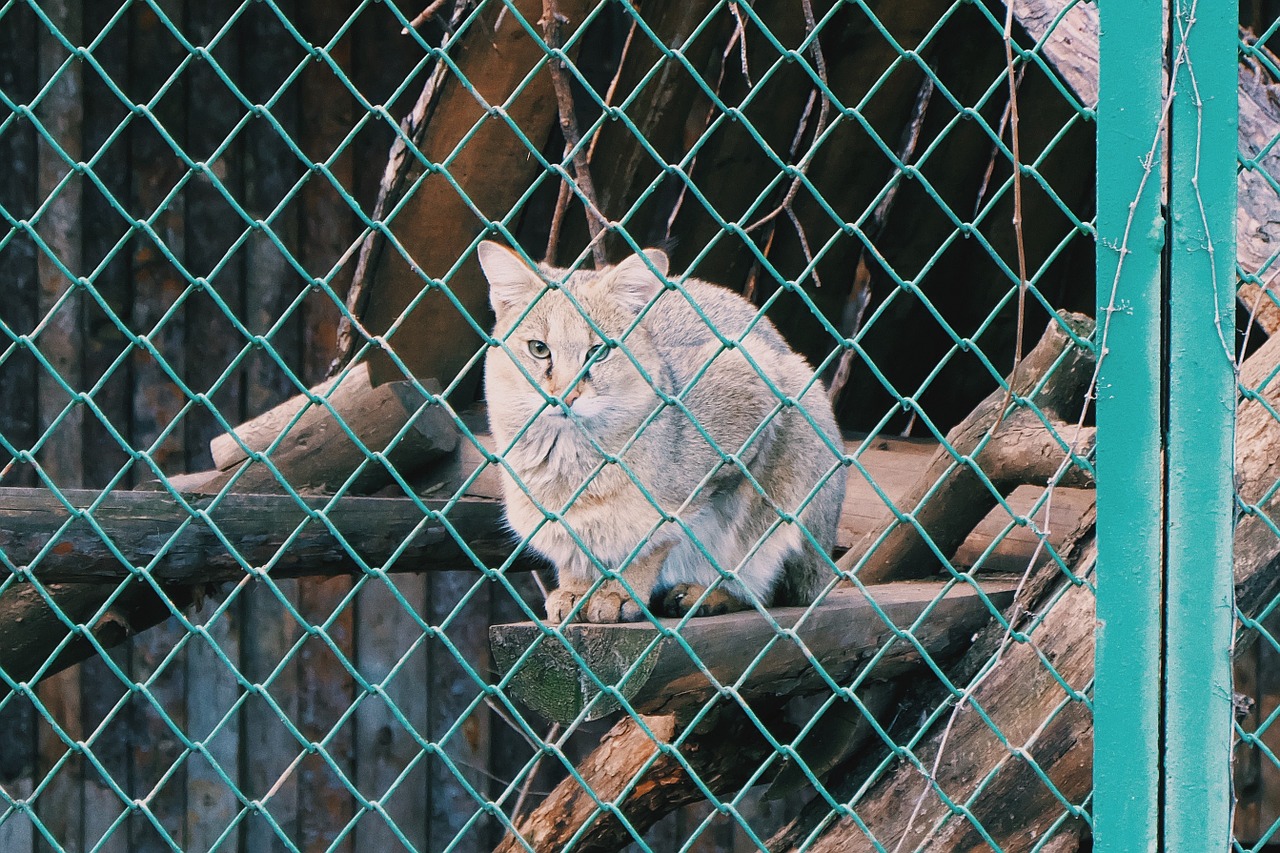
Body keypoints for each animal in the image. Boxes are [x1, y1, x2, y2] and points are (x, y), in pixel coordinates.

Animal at [476, 242, 844, 622]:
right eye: (539, 348)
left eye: (599, 352)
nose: (564, 394)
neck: (570, 465)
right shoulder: (553, 523)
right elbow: (574, 551)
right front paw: (576, 589)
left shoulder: (749, 390)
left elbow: (656, 539)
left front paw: (621, 591)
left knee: (769, 588)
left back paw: (707, 594)